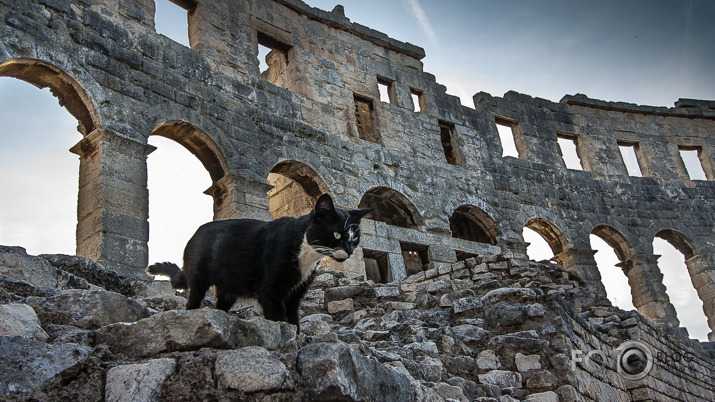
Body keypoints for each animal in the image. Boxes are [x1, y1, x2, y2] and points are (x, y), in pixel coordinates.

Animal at [145, 193, 370, 332]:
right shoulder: (270, 290)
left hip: (230, 287)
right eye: (337, 234)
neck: (306, 256)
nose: (350, 251)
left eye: (355, 238)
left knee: (221, 305)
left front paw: (297, 336)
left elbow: (293, 318)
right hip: (199, 277)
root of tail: (193, 235)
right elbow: (278, 316)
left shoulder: (296, 293)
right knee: (193, 300)